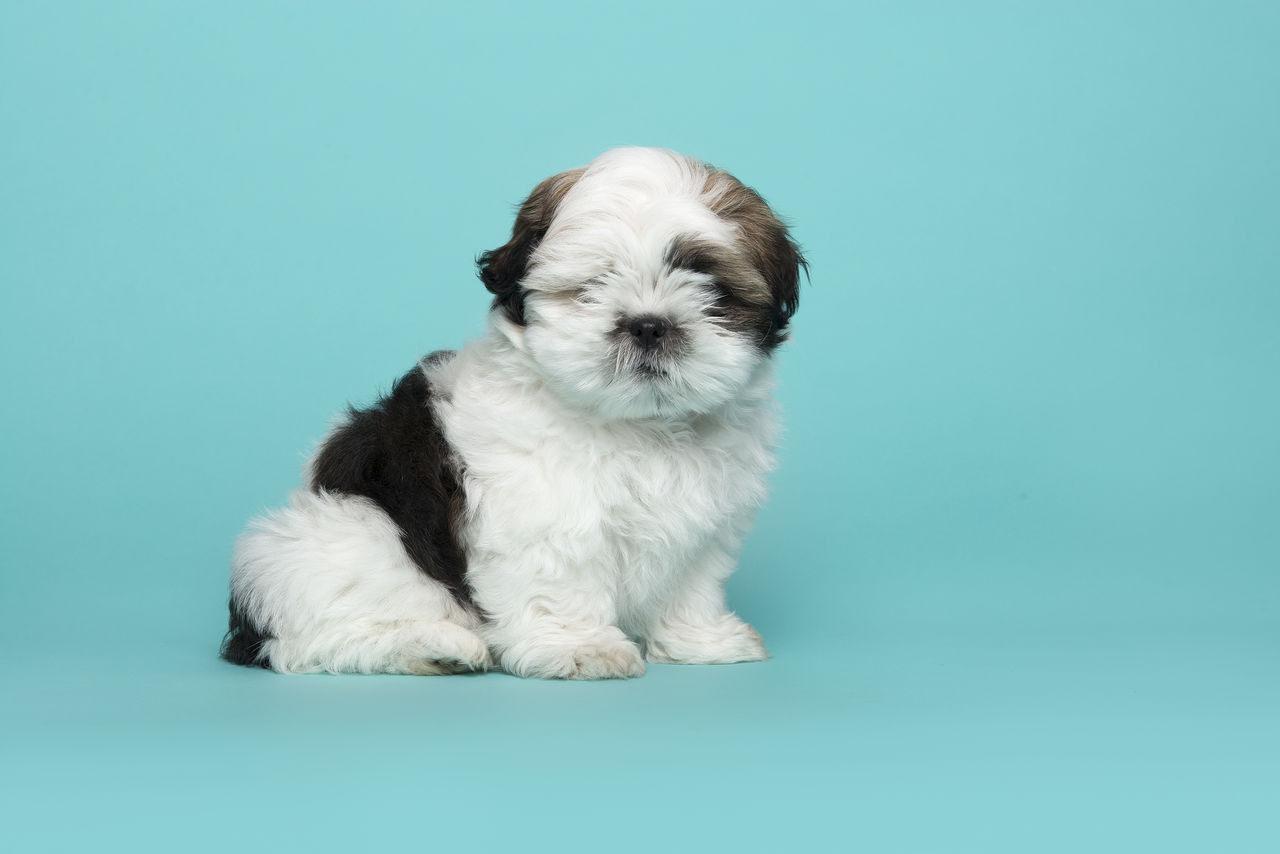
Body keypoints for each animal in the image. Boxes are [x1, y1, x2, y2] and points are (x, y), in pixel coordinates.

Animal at [217, 147, 798, 681]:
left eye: (709, 284)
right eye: (594, 285)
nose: (648, 324)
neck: (638, 425)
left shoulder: (704, 521)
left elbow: (689, 582)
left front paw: (699, 640)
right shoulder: (545, 511)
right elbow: (559, 576)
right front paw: (580, 648)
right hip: (336, 536)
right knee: (312, 638)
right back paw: (434, 645)